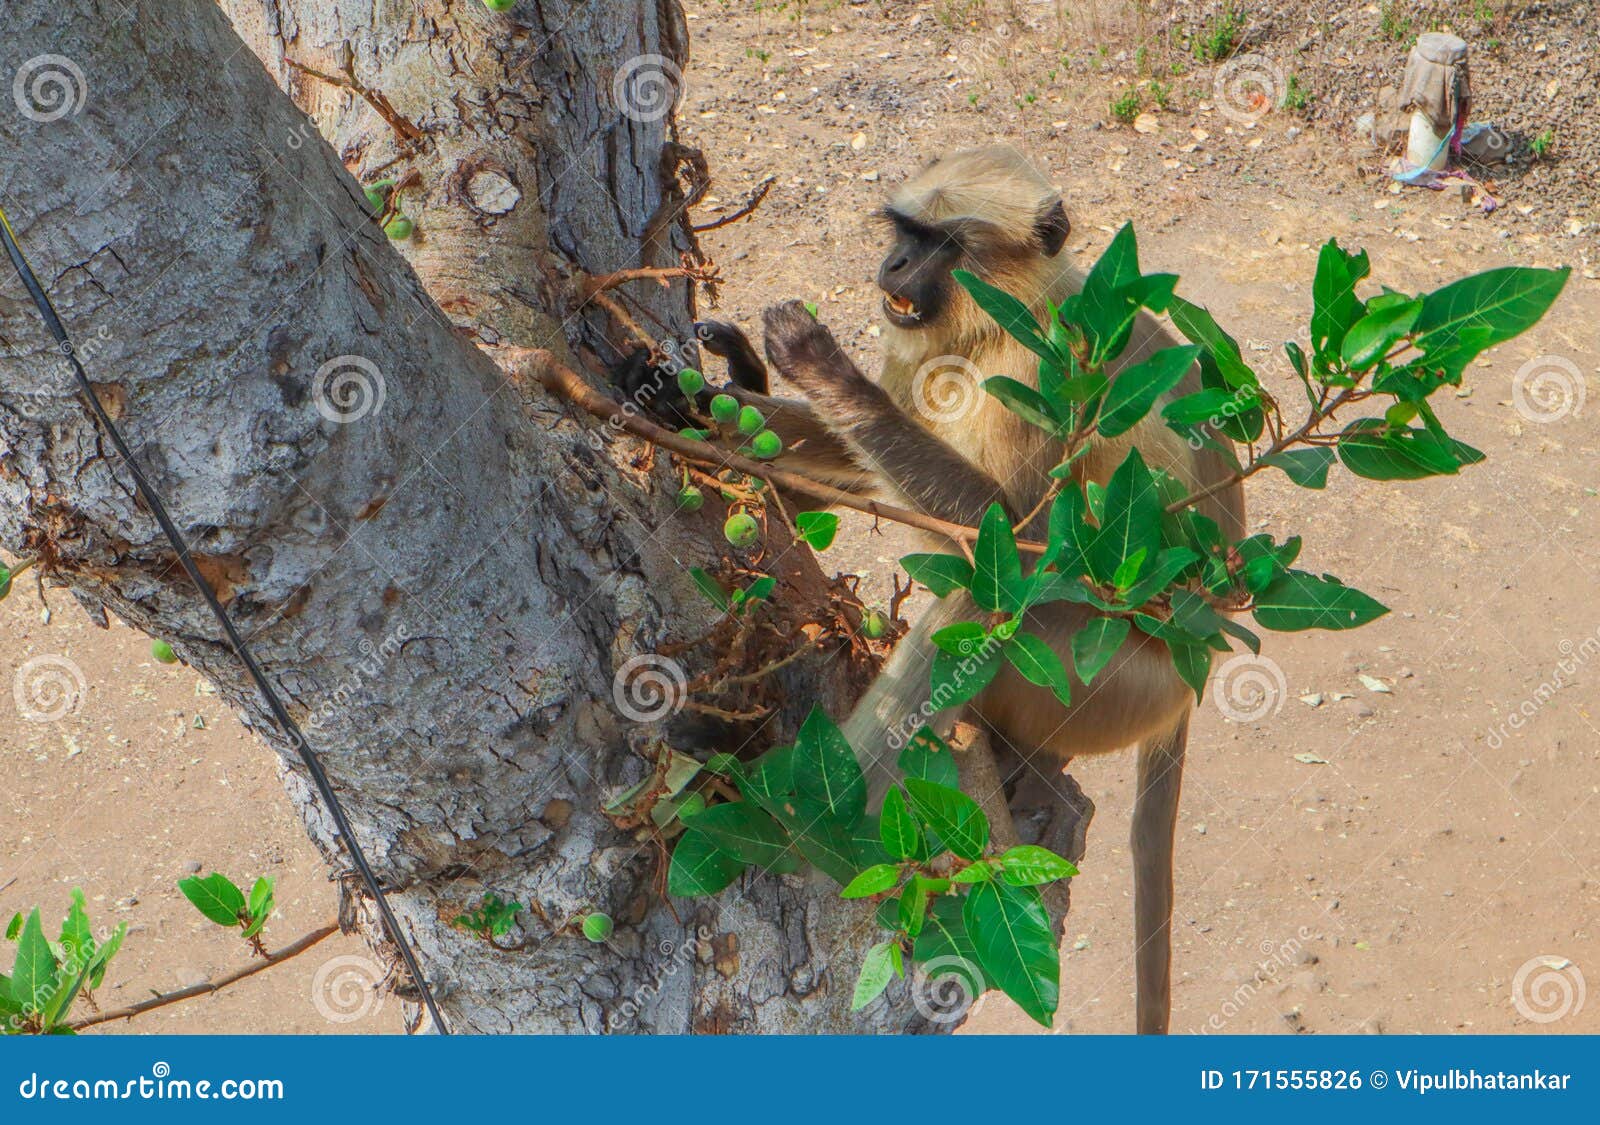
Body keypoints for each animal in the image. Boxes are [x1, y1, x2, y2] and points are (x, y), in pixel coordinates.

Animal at [691, 146, 1245, 1034]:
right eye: (903, 232)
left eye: (942, 244)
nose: (893, 266)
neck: (992, 329)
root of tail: (1196, 675)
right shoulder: (914, 350)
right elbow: (856, 461)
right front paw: (703, 397)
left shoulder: (1041, 369)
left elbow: (1014, 539)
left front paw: (819, 365)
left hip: (1110, 676)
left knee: (985, 596)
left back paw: (800, 827)